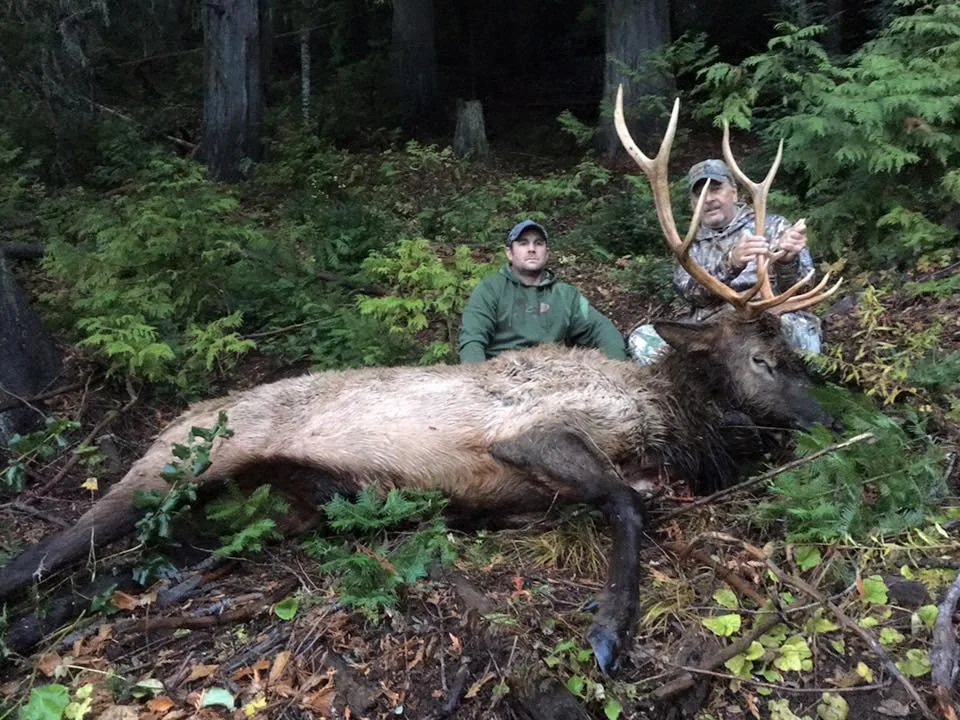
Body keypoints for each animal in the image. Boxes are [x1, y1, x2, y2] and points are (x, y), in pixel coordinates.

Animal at [0, 89, 839, 676]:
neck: (663, 418)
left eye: (794, 356)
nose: (831, 416)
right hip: (178, 462)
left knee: (124, 570)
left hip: (250, 510)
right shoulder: (533, 433)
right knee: (39, 555)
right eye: (761, 359)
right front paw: (607, 635)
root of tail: (183, 416)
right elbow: (629, 504)